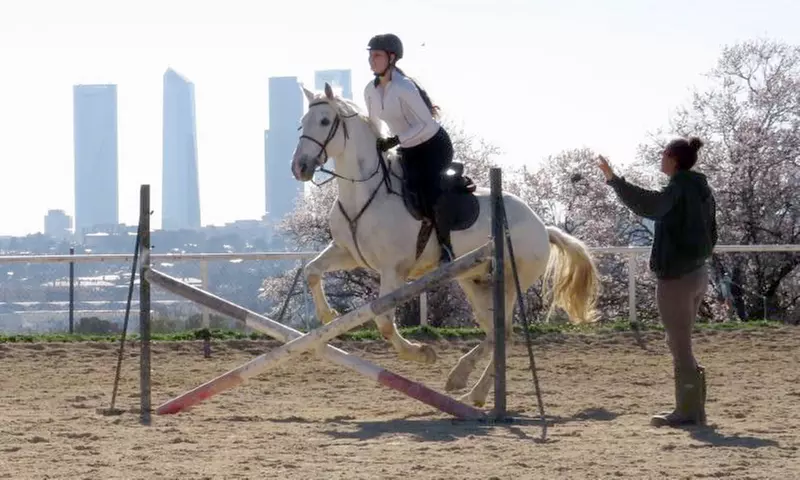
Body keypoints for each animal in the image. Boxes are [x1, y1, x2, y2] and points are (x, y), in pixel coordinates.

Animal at [289, 82, 600, 407]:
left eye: (325, 121)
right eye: (302, 123)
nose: (299, 167)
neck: (363, 192)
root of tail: (541, 225)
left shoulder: (394, 269)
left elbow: (384, 322)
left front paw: (421, 354)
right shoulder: (348, 253)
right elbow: (312, 272)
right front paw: (328, 316)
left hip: (509, 283)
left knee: (505, 334)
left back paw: (472, 389)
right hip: (475, 282)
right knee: (495, 333)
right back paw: (464, 382)